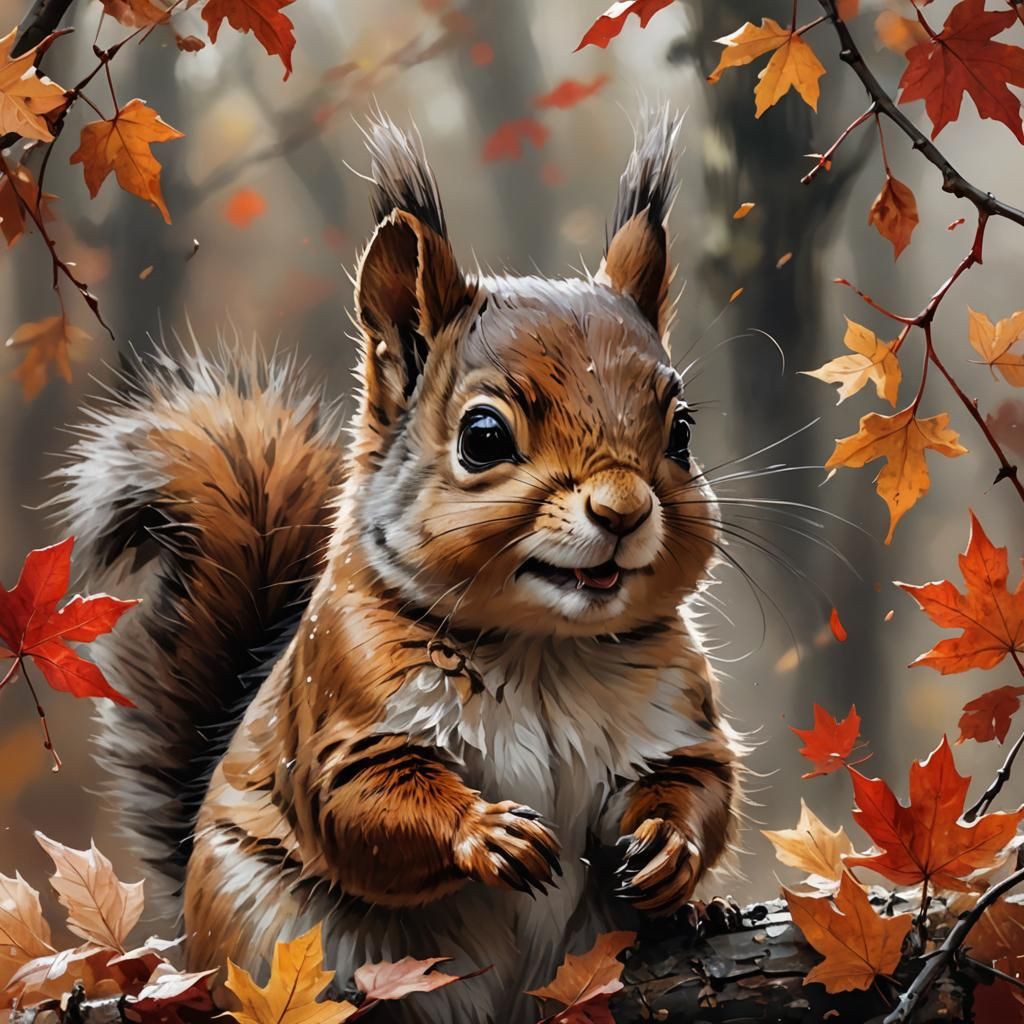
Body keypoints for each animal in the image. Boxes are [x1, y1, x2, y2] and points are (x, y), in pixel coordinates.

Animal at [58, 108, 742, 1024]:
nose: (624, 511)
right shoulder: (348, 704)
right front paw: (486, 832)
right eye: (483, 437)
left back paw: (705, 914)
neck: (544, 649)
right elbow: (365, 803)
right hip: (255, 922)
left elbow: (697, 783)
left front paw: (669, 847)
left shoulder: (674, 716)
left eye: (682, 432)